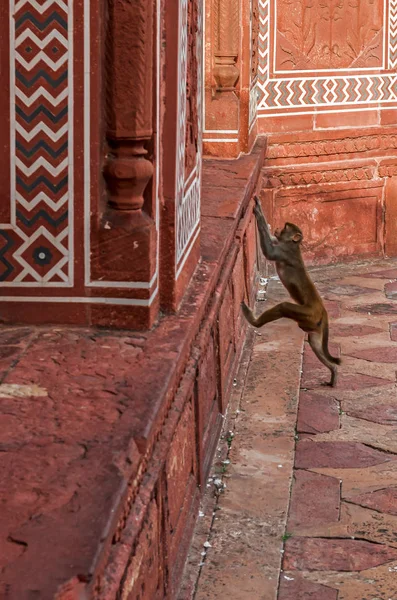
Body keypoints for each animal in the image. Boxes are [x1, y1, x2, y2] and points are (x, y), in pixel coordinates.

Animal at [241, 195, 340, 386]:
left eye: (286, 226)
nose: (279, 227)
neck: (292, 245)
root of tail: (323, 310)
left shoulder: (283, 252)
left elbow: (269, 251)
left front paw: (258, 212)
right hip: (312, 323)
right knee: (314, 342)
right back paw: (333, 371)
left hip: (308, 313)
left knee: (284, 307)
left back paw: (254, 321)